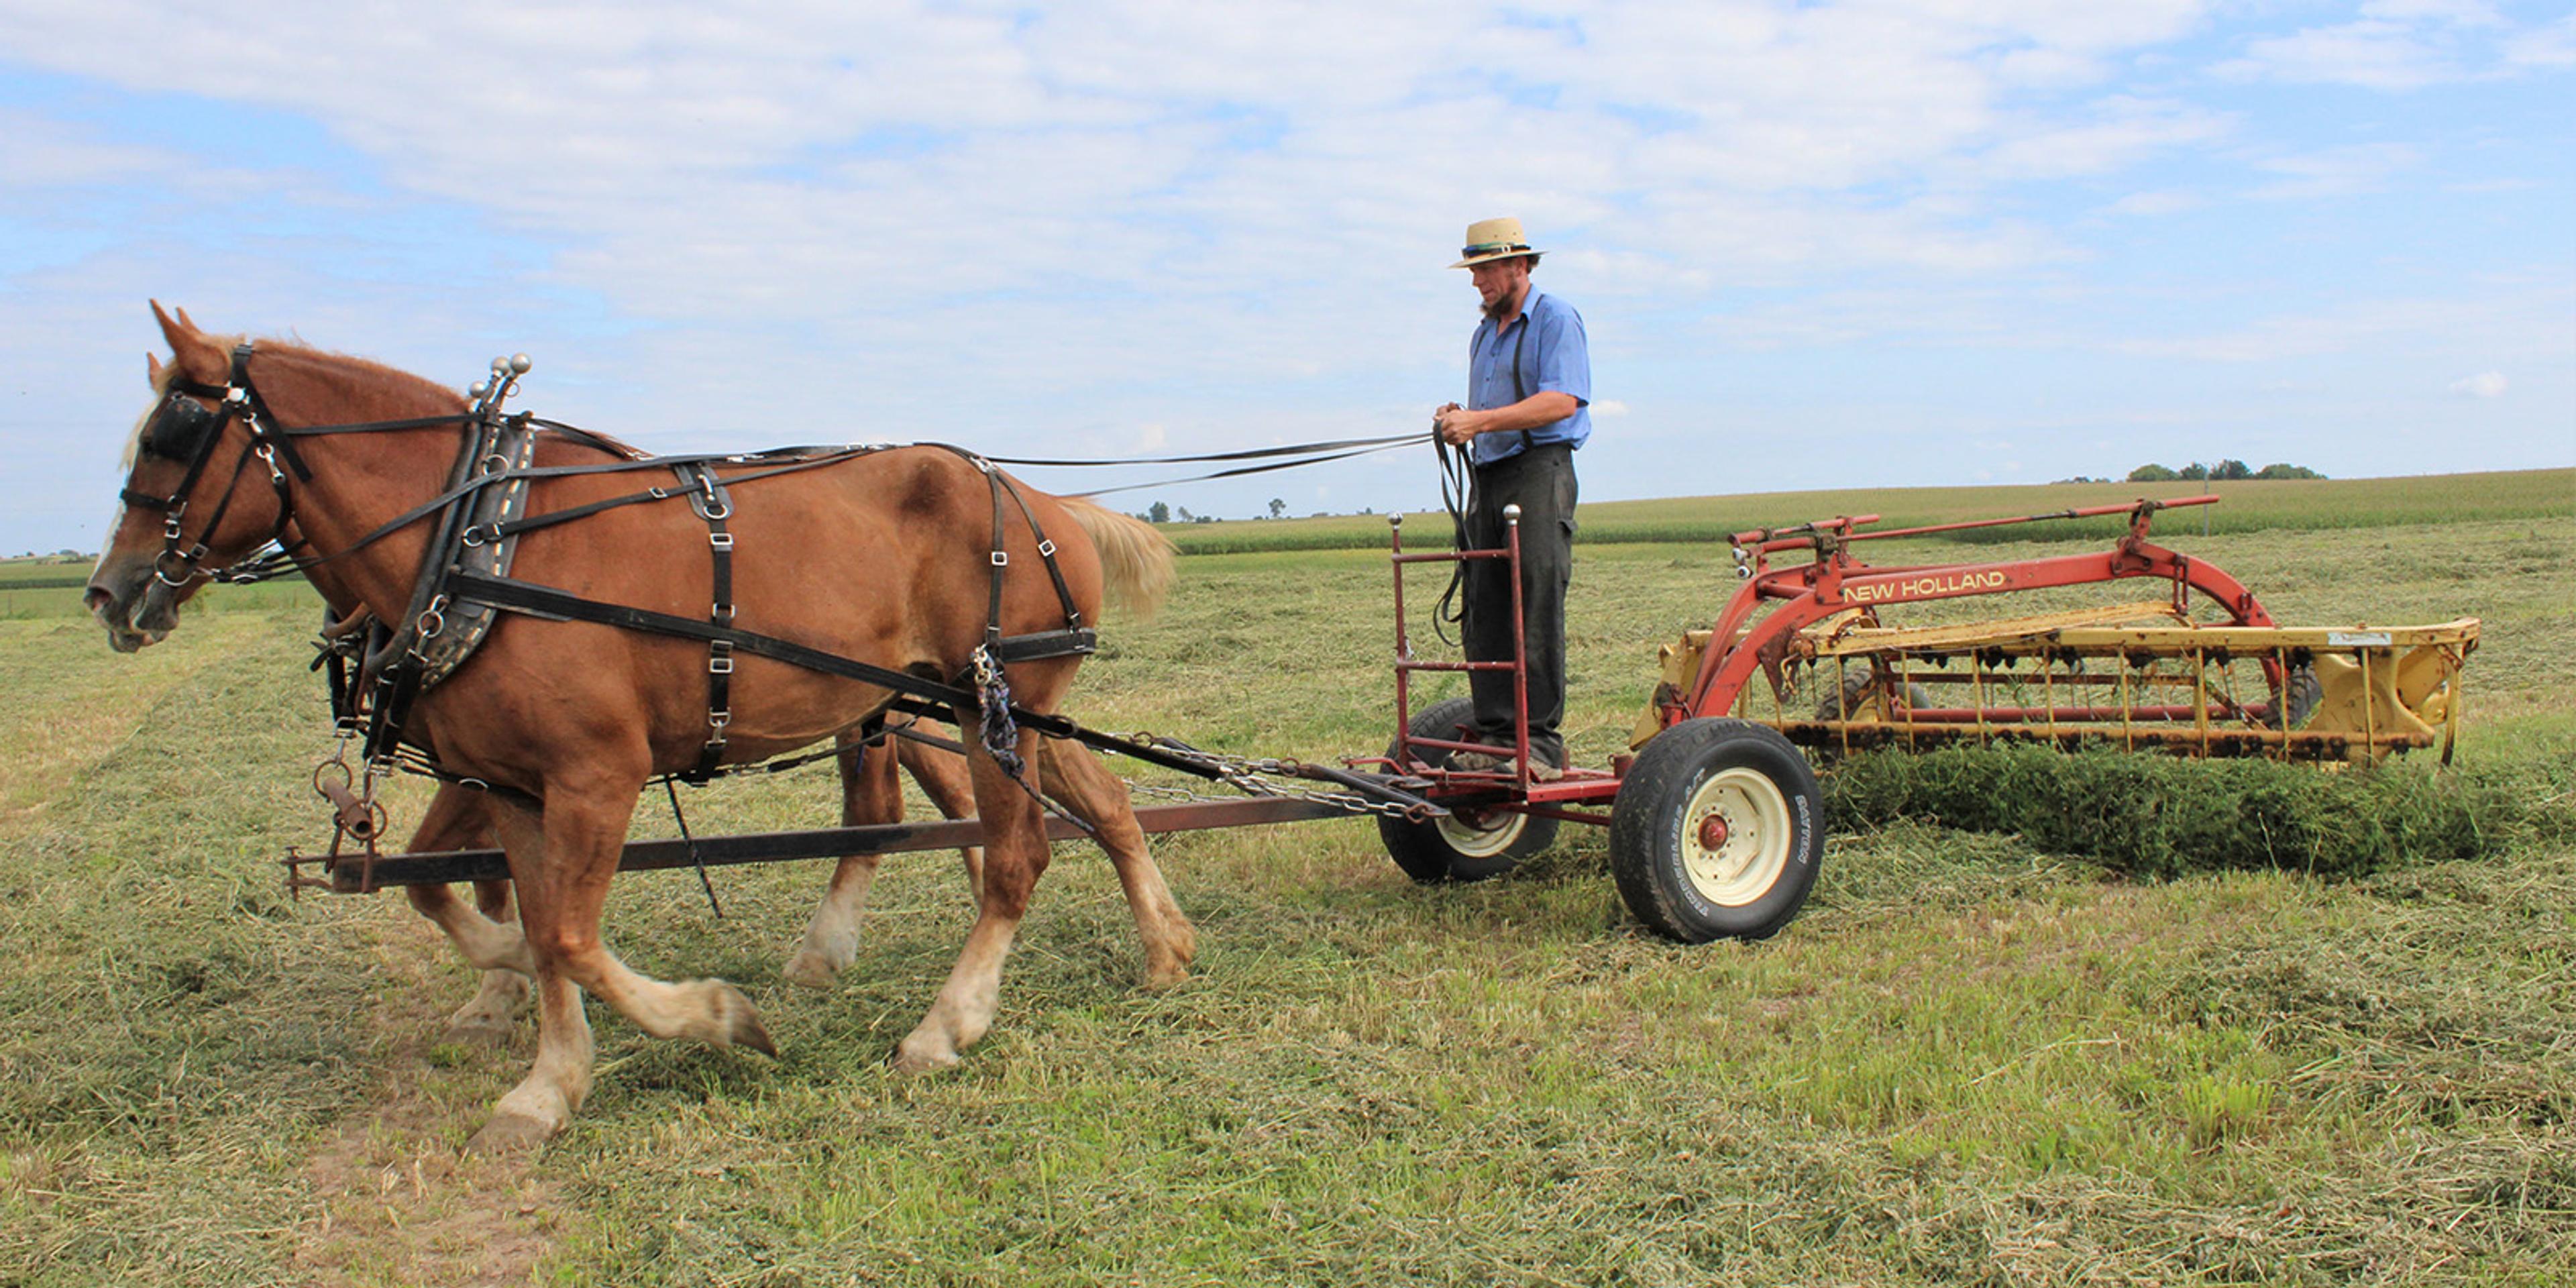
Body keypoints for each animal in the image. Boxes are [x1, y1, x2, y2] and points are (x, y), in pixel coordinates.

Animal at [88, 304, 1194, 1150]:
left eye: (173, 437)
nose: (113, 592)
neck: (476, 544)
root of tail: (1042, 496)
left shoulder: (596, 775)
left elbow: (569, 936)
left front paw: (714, 1016)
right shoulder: (510, 784)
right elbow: (524, 924)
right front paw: (544, 1082)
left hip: (981, 707)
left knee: (1014, 856)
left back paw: (945, 1025)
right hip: (1004, 711)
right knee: (1102, 804)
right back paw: (1163, 949)